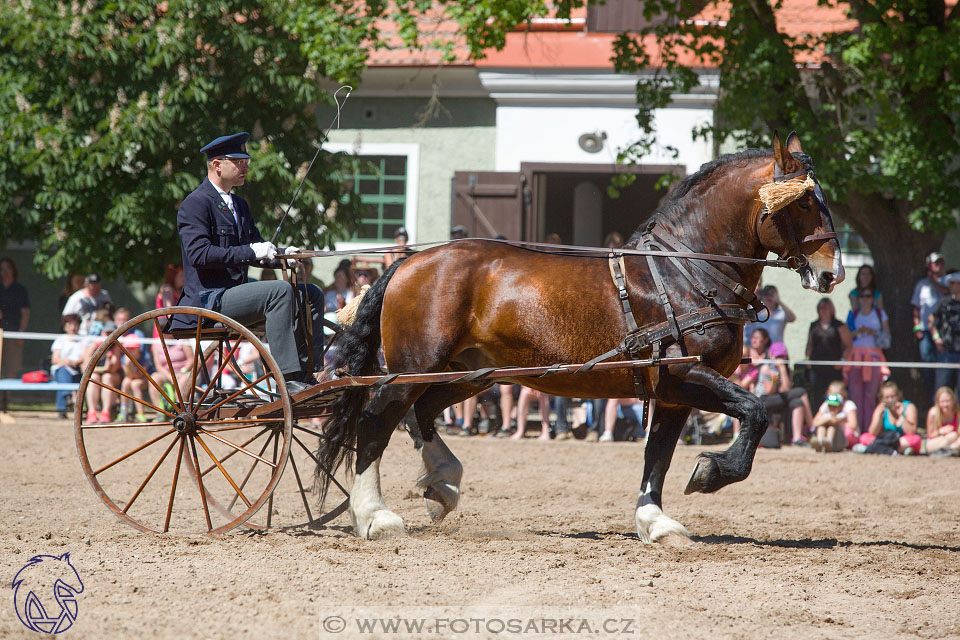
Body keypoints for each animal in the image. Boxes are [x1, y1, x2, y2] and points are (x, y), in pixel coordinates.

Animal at [318, 132, 844, 544]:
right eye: (803, 202)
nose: (832, 273)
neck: (685, 273)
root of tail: (408, 262)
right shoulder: (685, 374)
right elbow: (754, 412)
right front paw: (712, 472)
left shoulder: (671, 392)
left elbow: (658, 455)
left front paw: (655, 522)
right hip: (415, 368)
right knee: (376, 421)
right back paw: (375, 517)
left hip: (470, 374)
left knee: (420, 414)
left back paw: (443, 486)